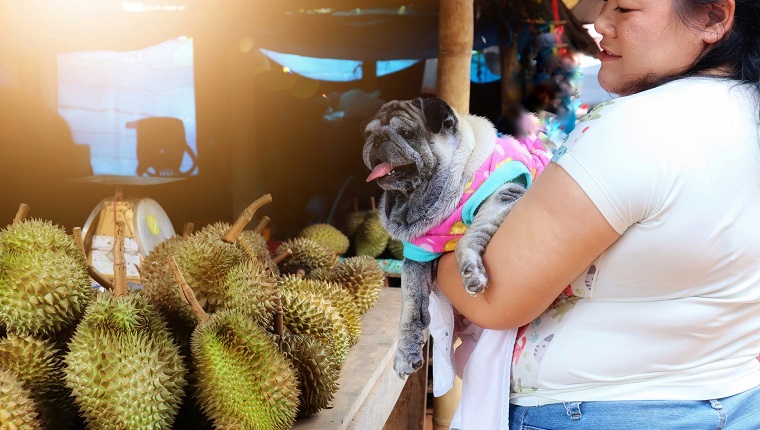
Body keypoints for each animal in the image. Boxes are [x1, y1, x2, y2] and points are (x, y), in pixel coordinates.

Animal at [364, 97, 548, 376]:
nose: (377, 139)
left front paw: (471, 272)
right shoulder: (416, 257)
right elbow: (410, 305)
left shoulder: (504, 193)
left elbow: (466, 239)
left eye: (407, 133)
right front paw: (406, 351)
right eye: (367, 134)